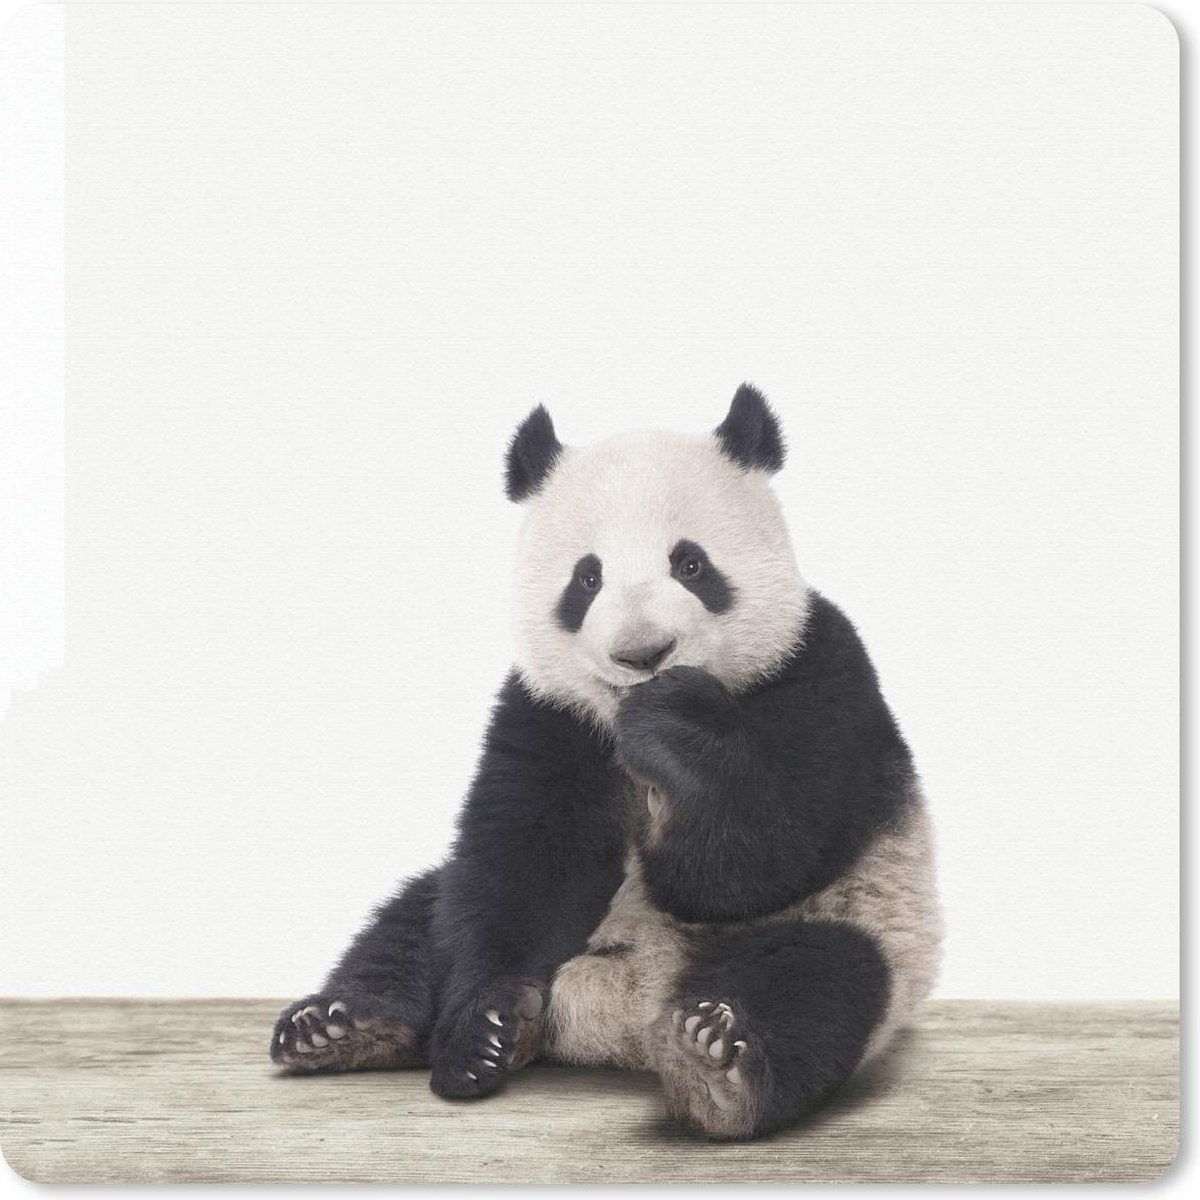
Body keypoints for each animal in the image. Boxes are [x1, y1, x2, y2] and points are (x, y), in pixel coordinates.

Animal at [270, 384, 942, 1140]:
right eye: (587, 578)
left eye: (691, 565)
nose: (643, 653)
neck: (620, 720)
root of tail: (620, 1019)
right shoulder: (550, 714)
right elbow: (524, 866)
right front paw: (483, 1031)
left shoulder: (818, 669)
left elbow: (757, 858)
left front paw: (676, 726)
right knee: (416, 918)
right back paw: (346, 1027)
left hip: (865, 922)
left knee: (818, 981)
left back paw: (717, 1066)